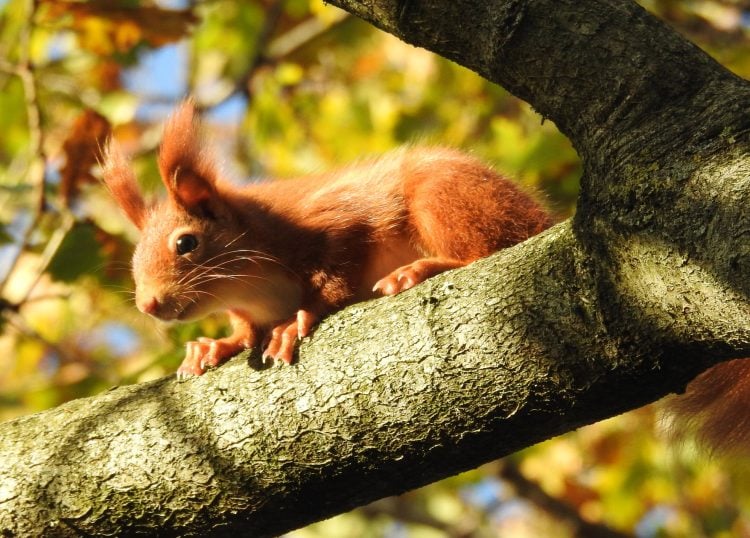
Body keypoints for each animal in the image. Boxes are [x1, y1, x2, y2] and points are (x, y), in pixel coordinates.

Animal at [102, 101, 552, 377]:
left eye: (186, 243)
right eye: (134, 258)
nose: (148, 304)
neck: (254, 288)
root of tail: (541, 217)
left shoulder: (336, 220)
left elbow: (338, 270)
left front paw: (299, 318)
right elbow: (245, 331)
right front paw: (218, 345)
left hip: (442, 196)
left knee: (484, 250)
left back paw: (421, 269)